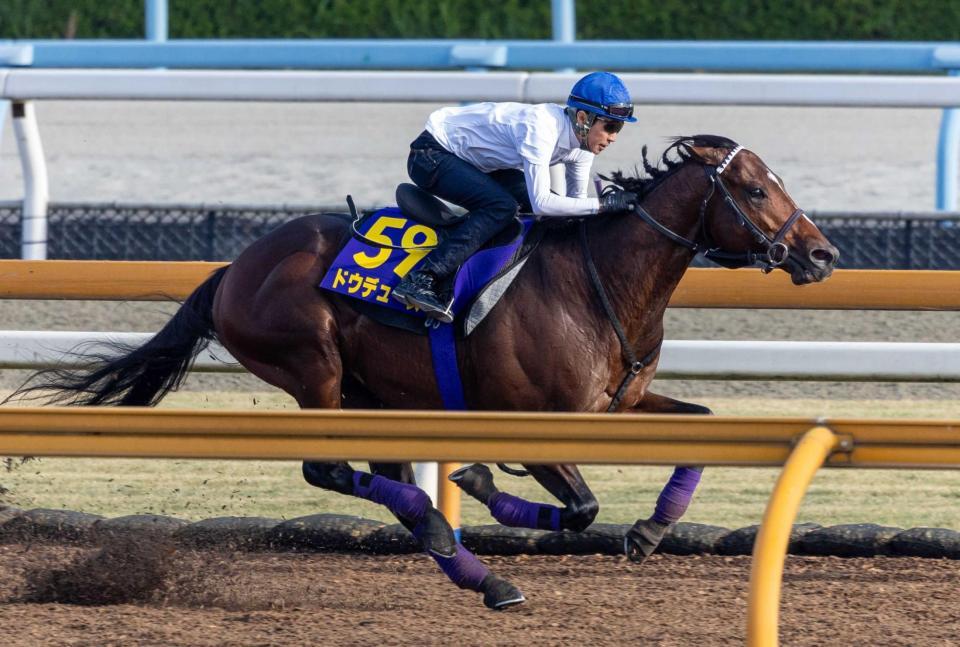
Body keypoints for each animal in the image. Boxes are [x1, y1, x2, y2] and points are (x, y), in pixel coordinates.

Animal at [11, 134, 836, 612]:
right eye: (756, 190)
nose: (822, 253)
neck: (598, 277)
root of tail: (232, 269)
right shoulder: (535, 421)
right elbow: (579, 506)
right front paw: (481, 480)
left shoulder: (621, 406)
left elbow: (698, 430)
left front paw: (652, 528)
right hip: (314, 367)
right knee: (326, 468)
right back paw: (459, 538)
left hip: (373, 392)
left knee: (383, 477)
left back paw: (476, 567)